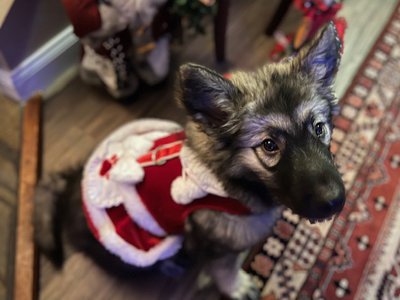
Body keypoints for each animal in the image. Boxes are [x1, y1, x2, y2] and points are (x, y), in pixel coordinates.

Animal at [36, 21, 346, 300]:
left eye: (319, 128)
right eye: (269, 145)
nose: (335, 202)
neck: (230, 180)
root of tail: (69, 189)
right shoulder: (219, 248)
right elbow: (225, 269)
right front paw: (236, 287)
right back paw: (171, 263)